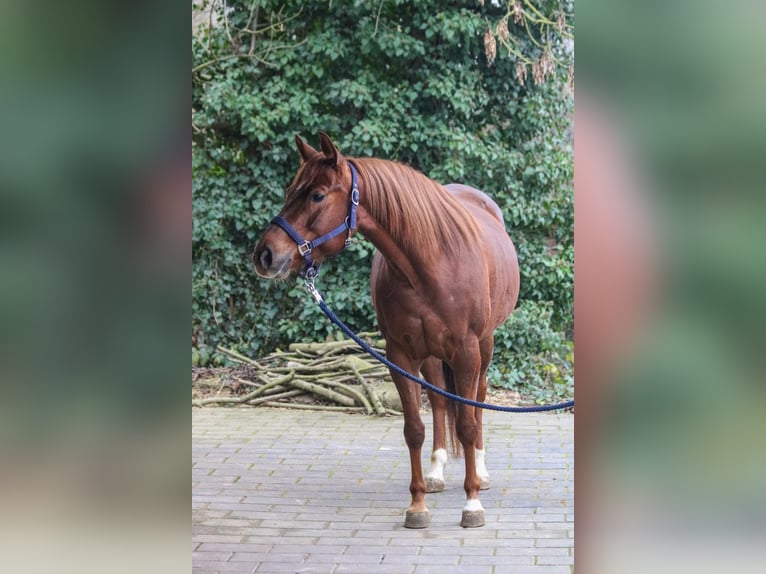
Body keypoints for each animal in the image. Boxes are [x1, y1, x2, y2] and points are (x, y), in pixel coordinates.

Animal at [253, 132, 519, 528]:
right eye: (290, 191)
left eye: (317, 195)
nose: (265, 255)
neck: (430, 264)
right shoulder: (400, 355)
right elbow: (414, 429)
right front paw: (417, 505)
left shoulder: (467, 351)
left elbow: (468, 424)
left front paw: (472, 504)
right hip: (431, 354)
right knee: (440, 401)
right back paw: (437, 471)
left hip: (484, 346)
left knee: (478, 400)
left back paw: (482, 472)